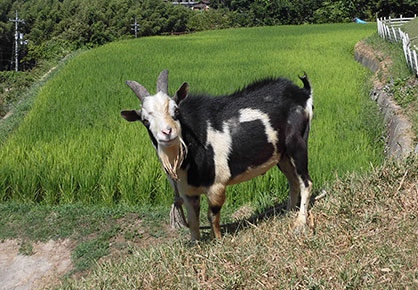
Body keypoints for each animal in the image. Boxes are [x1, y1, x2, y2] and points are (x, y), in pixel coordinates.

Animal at [121, 70, 314, 240]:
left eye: (176, 111)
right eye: (145, 121)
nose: (167, 132)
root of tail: (302, 92)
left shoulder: (217, 185)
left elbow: (212, 215)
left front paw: (219, 241)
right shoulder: (187, 192)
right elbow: (193, 221)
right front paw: (196, 244)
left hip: (297, 143)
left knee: (306, 181)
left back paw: (299, 223)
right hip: (282, 155)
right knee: (293, 181)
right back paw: (288, 213)